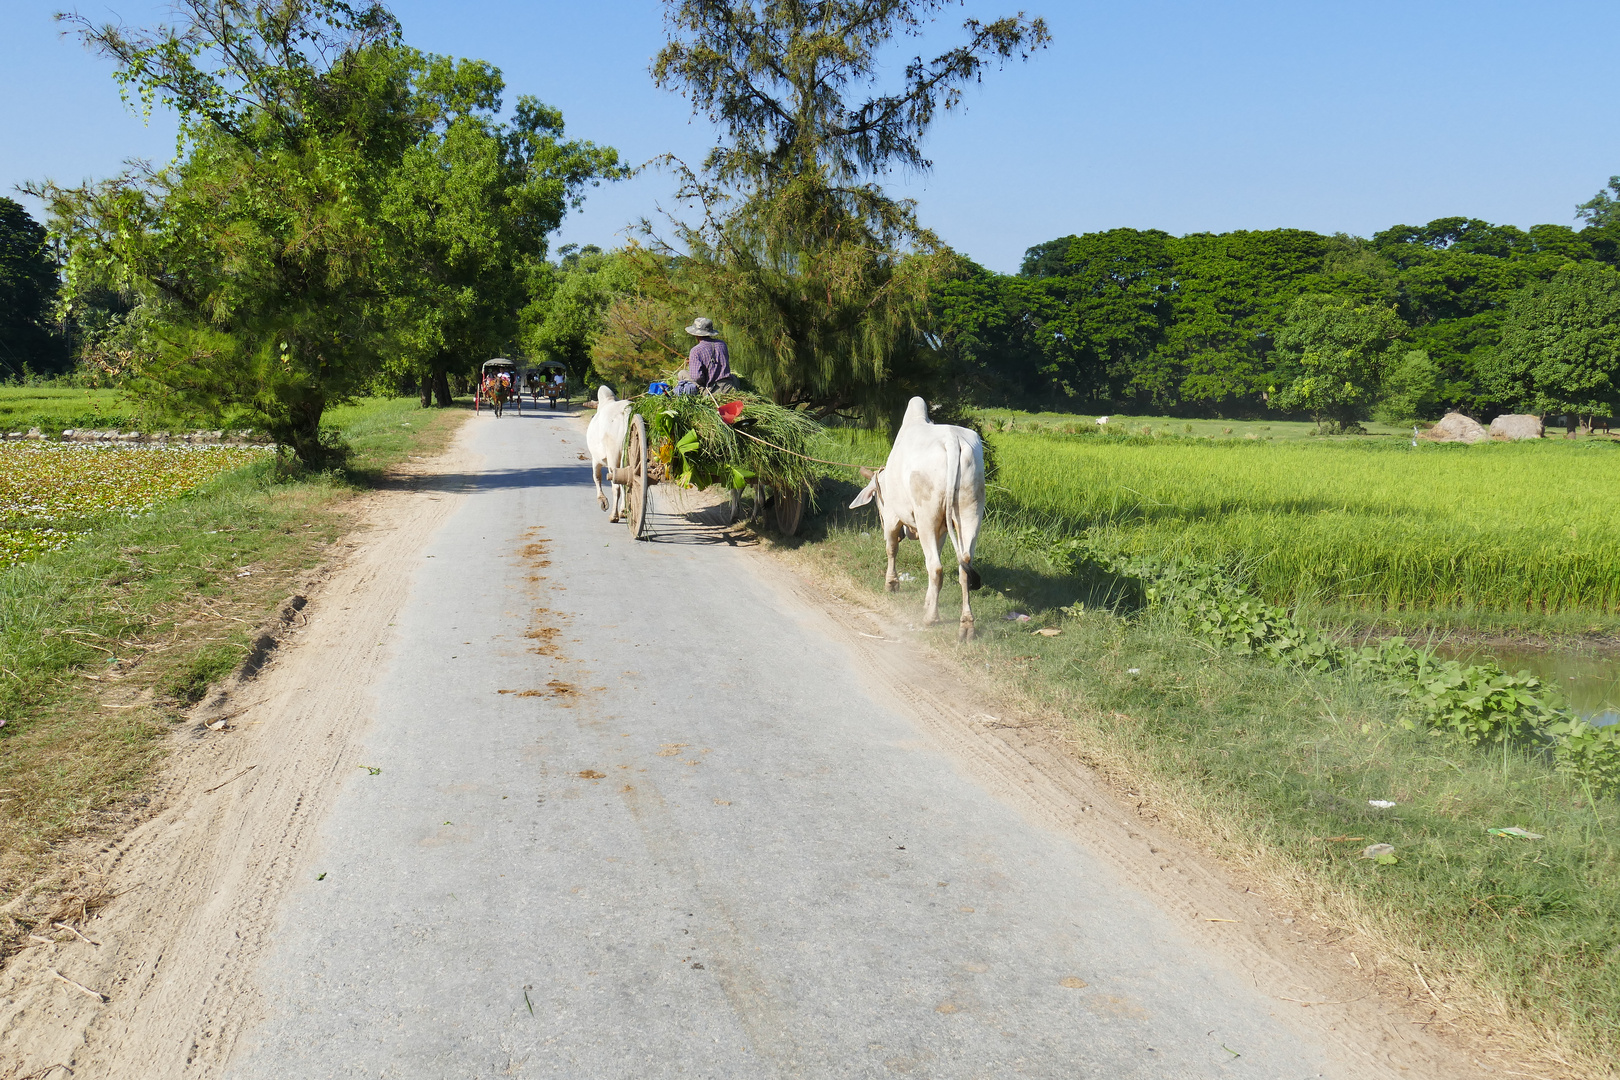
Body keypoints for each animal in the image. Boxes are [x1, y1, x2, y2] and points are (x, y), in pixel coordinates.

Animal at [586, 388, 628, 524]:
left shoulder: (595, 458)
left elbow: (596, 477)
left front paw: (602, 501)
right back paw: (623, 511)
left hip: (613, 455)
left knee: (617, 486)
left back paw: (614, 516)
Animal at [848, 396, 984, 637]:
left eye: (878, 501)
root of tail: (953, 440)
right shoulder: (941, 530)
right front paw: (928, 601)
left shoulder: (892, 517)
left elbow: (891, 549)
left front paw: (892, 584)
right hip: (971, 512)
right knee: (963, 567)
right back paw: (966, 625)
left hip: (926, 517)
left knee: (936, 568)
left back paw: (931, 618)